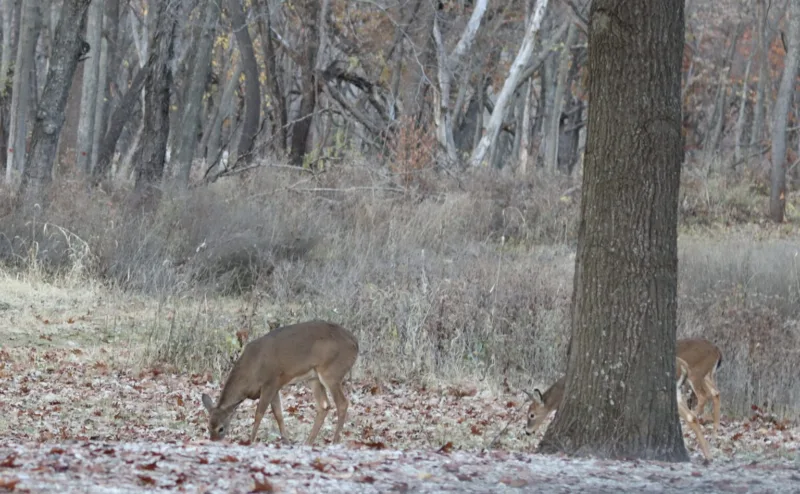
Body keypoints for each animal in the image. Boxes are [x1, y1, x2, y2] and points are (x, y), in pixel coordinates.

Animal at [201, 320, 359, 446]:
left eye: (221, 428)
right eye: (208, 427)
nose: (213, 441)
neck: (251, 370)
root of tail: (355, 343)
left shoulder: (271, 381)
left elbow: (259, 414)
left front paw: (250, 441)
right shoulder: (275, 387)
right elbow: (278, 414)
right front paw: (287, 441)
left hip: (331, 372)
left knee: (342, 403)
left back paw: (334, 441)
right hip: (314, 378)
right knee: (324, 405)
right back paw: (308, 443)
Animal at [523, 338, 722, 459]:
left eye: (531, 414)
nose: (527, 431)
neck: (564, 386)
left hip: (688, 381)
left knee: (701, 401)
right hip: (685, 388)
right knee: (700, 408)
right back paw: (709, 452)